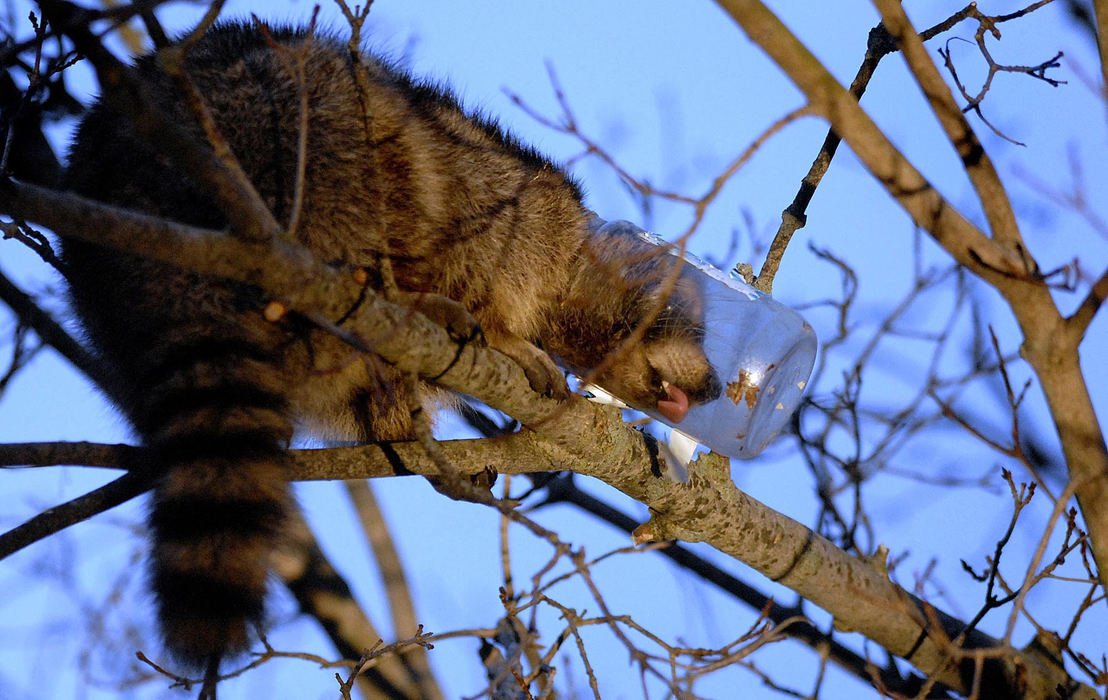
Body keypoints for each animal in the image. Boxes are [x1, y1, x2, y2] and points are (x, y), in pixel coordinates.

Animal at [60, 20, 722, 677]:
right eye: (694, 330)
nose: (715, 387)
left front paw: (399, 417)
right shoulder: (516, 207)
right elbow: (487, 251)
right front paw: (504, 332)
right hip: (292, 129)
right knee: (397, 165)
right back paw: (411, 297)